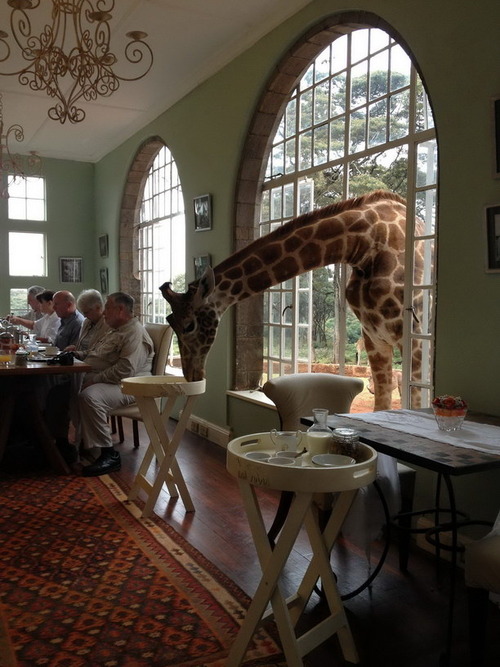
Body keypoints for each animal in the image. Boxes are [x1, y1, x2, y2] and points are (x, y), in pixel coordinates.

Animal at [160, 190, 423, 411]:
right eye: (170, 321)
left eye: (189, 325)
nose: (192, 375)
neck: (365, 244)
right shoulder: (374, 338)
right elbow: (382, 405)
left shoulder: (412, 336)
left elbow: (414, 401)